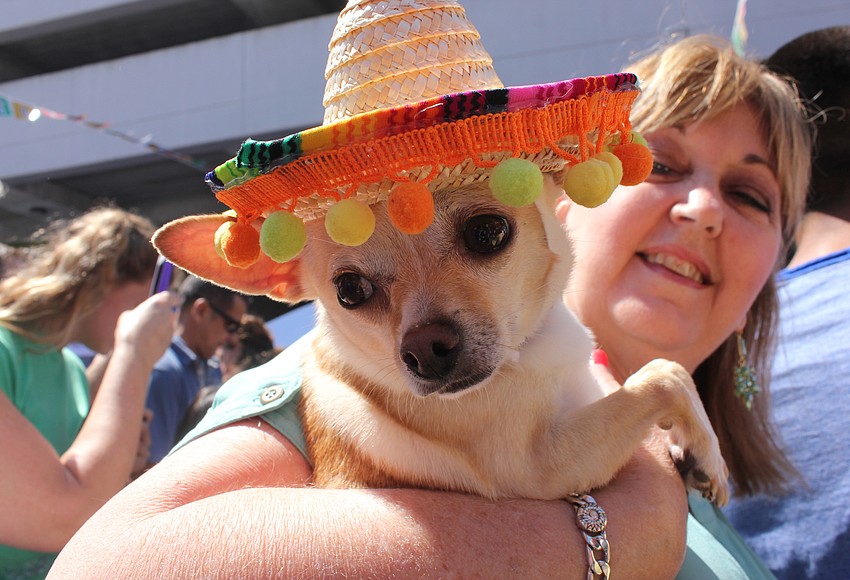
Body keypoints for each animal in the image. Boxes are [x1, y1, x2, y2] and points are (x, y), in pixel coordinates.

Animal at [157, 176, 728, 502]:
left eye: (488, 232)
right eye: (349, 291)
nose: (424, 349)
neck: (526, 353)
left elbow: (662, 373)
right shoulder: (540, 469)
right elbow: (664, 375)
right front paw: (709, 457)